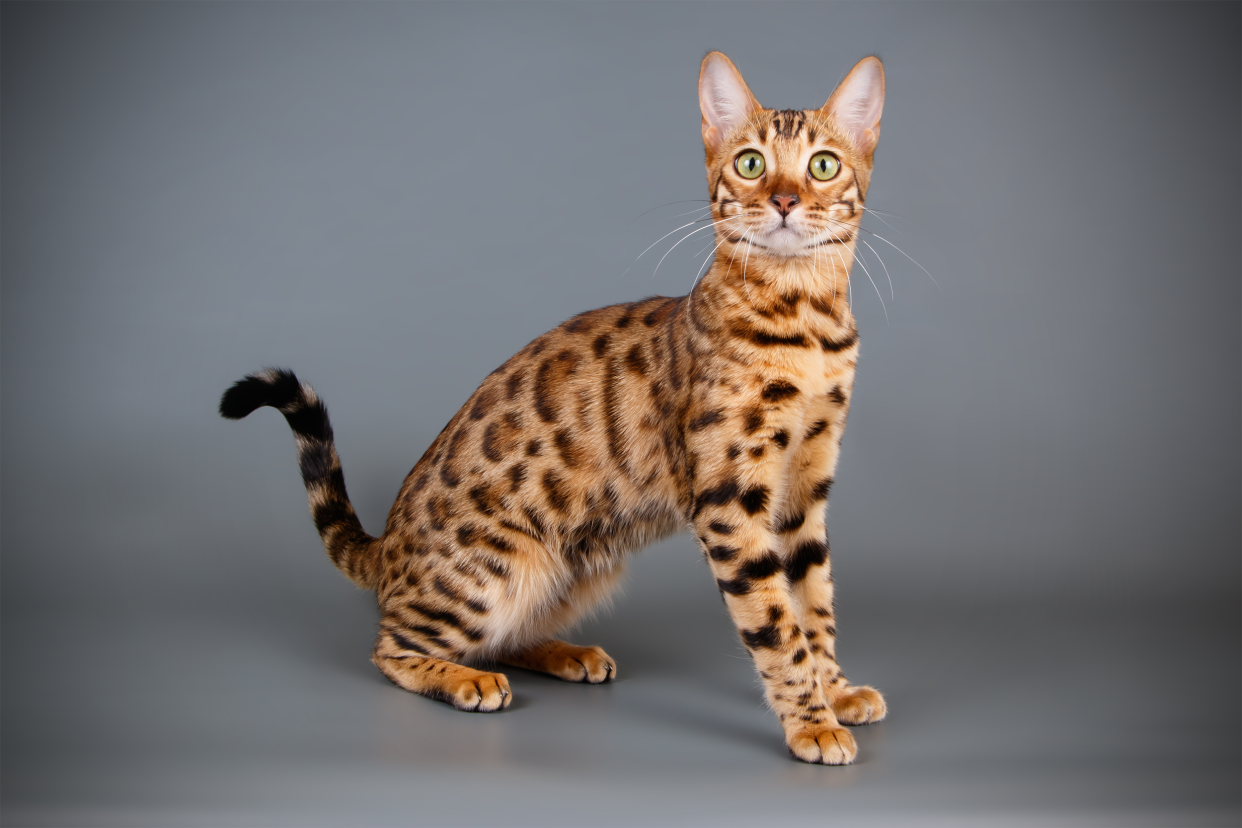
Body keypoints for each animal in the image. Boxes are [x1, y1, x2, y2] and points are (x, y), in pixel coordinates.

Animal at [218, 50, 889, 764]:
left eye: (823, 165)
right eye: (752, 164)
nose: (785, 201)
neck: (806, 325)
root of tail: (388, 545)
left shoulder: (804, 491)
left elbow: (814, 603)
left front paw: (836, 692)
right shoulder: (732, 500)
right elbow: (777, 623)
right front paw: (811, 722)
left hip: (581, 564)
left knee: (502, 638)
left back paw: (566, 655)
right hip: (500, 567)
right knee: (391, 645)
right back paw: (463, 678)